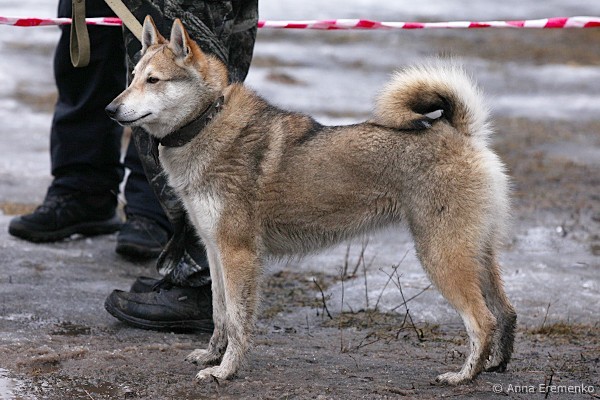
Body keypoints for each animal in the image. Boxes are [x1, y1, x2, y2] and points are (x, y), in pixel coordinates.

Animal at [106, 16, 517, 385]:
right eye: (132, 77)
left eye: (153, 80)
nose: (110, 109)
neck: (206, 122)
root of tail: (460, 132)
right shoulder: (213, 250)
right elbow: (220, 313)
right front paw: (211, 356)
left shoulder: (238, 253)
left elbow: (237, 321)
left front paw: (226, 371)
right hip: (475, 253)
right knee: (506, 311)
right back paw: (494, 365)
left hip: (441, 255)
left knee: (483, 320)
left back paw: (463, 375)